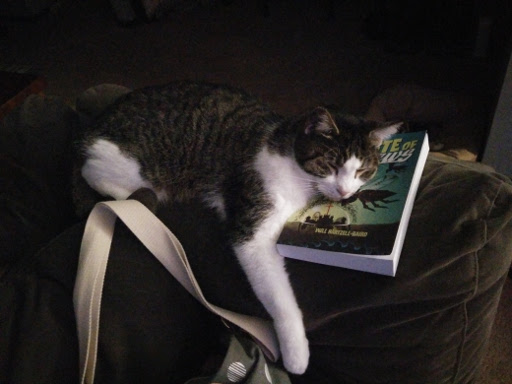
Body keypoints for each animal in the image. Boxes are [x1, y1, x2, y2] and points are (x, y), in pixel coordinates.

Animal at [73, 80, 400, 372]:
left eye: (363, 171)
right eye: (330, 165)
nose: (345, 192)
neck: (296, 172)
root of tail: (91, 131)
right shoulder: (252, 230)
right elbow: (279, 297)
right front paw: (296, 354)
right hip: (132, 167)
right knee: (98, 174)